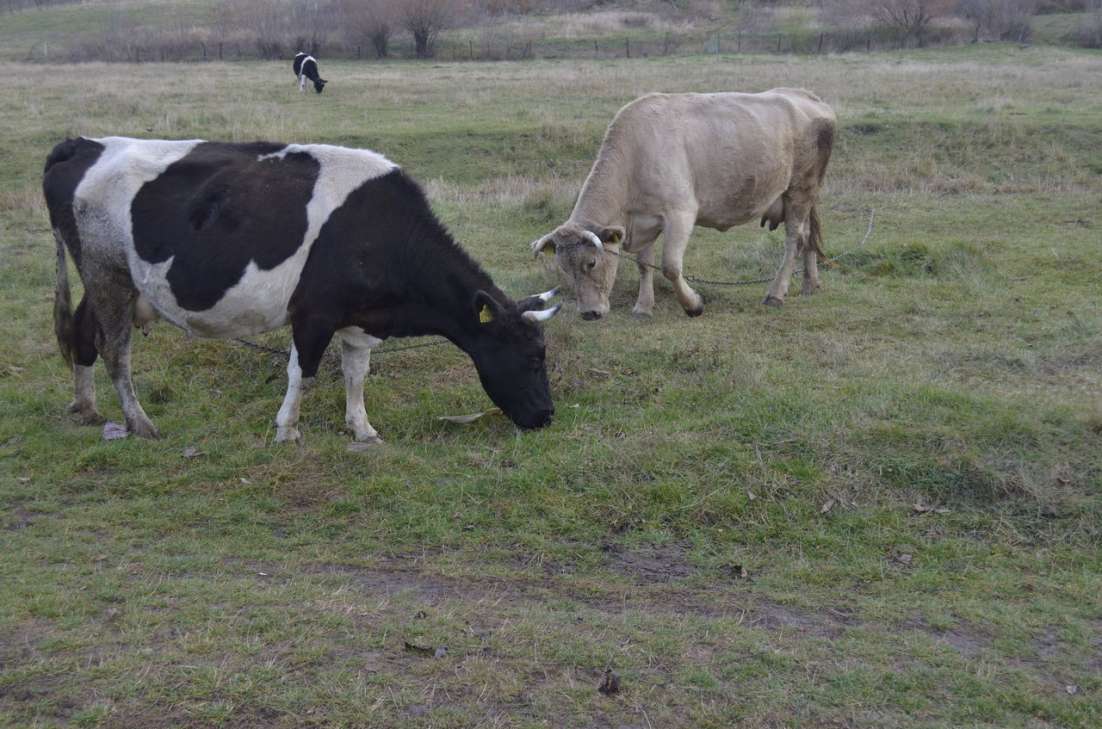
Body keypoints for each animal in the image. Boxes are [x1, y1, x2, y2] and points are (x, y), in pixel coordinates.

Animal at [42, 137, 559, 444]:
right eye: (533, 358)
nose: (547, 416)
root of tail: (84, 143)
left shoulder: (359, 319)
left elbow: (356, 374)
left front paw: (362, 429)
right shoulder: (314, 314)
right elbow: (303, 373)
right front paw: (287, 429)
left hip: (108, 279)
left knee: (83, 336)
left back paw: (87, 407)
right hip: (108, 274)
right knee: (115, 351)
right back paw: (140, 422)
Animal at [531, 89, 833, 319]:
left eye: (592, 263)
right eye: (563, 268)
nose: (589, 313)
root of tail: (807, 96)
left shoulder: (680, 213)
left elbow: (670, 266)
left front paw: (693, 305)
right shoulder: (643, 221)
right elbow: (644, 264)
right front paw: (643, 307)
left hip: (800, 190)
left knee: (793, 240)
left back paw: (776, 294)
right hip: (803, 197)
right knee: (808, 237)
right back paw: (810, 284)